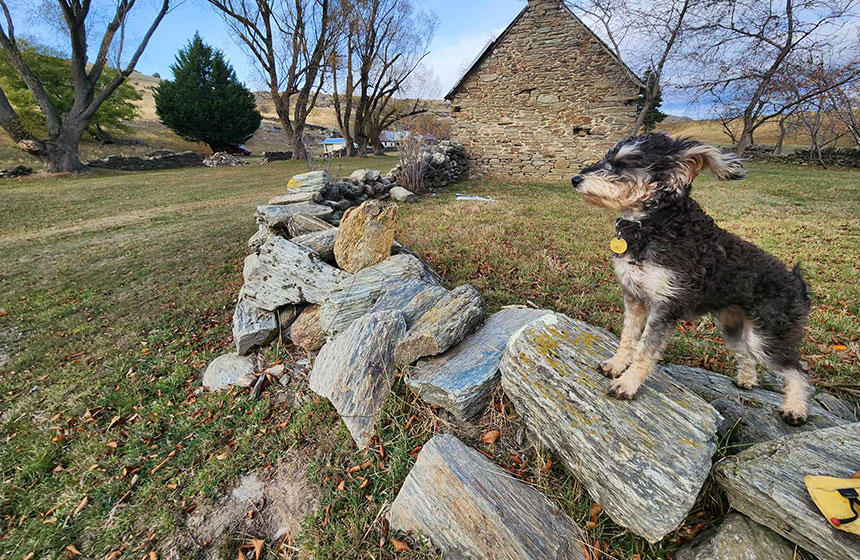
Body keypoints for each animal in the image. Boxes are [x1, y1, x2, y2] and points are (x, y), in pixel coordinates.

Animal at [572, 135, 812, 424]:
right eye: (608, 157)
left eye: (625, 162)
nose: (575, 179)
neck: (657, 224)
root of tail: (797, 284)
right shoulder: (634, 298)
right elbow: (628, 338)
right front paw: (617, 365)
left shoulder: (664, 307)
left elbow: (645, 351)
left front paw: (627, 384)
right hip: (731, 325)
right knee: (746, 354)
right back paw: (746, 381)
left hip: (768, 335)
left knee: (797, 369)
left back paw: (795, 409)